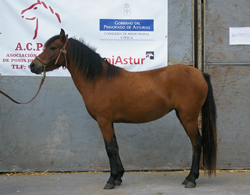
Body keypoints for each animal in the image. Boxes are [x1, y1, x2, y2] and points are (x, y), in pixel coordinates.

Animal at [30, 29, 216, 189]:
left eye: (53, 47)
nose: (33, 65)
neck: (98, 80)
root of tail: (200, 74)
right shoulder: (110, 122)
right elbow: (116, 146)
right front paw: (119, 176)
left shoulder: (103, 121)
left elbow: (109, 149)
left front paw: (111, 180)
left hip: (188, 116)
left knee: (197, 143)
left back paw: (191, 179)